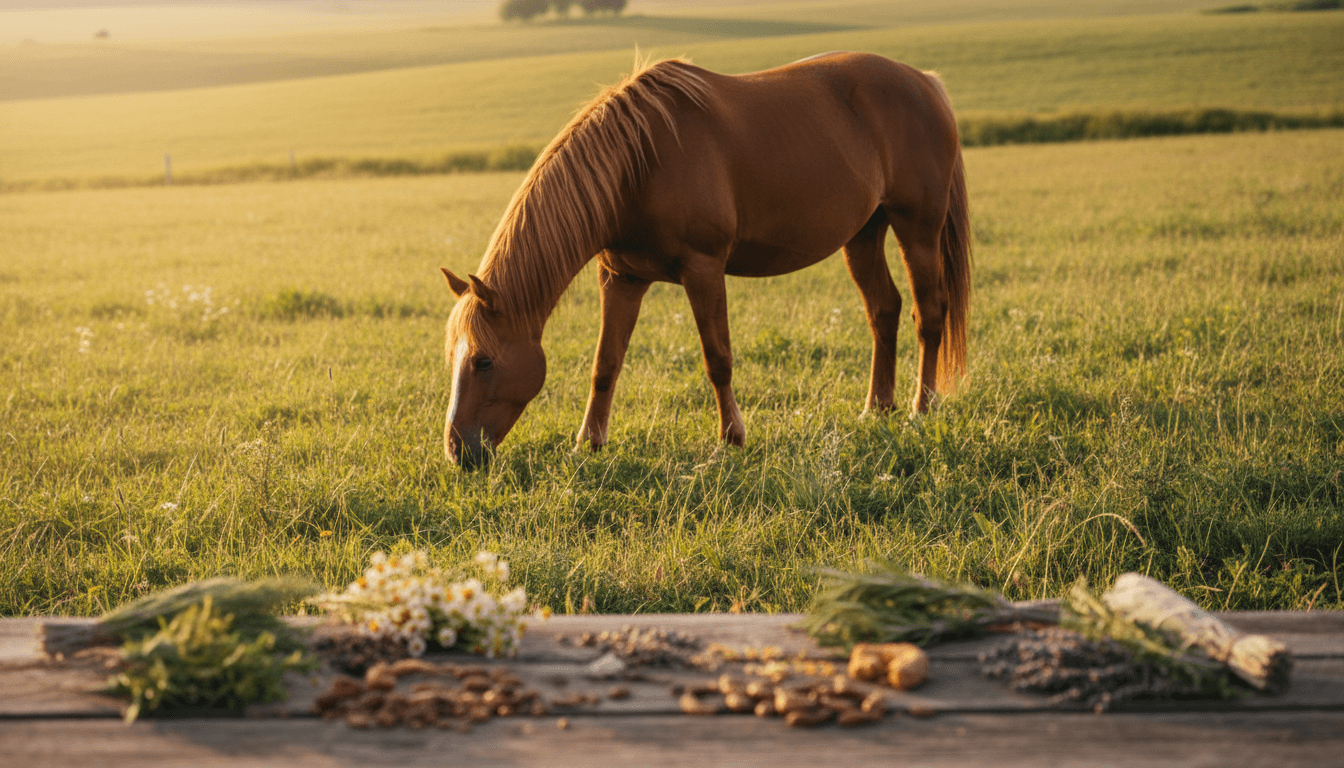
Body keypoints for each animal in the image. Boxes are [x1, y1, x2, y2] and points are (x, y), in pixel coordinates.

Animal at [440, 52, 970, 469]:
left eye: (484, 361)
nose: (457, 451)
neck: (639, 164)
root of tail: (927, 83)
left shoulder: (704, 270)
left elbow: (718, 358)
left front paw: (730, 440)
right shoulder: (621, 277)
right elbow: (605, 363)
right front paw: (588, 444)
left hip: (917, 228)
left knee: (929, 313)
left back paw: (922, 409)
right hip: (863, 234)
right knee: (884, 310)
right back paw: (876, 409)